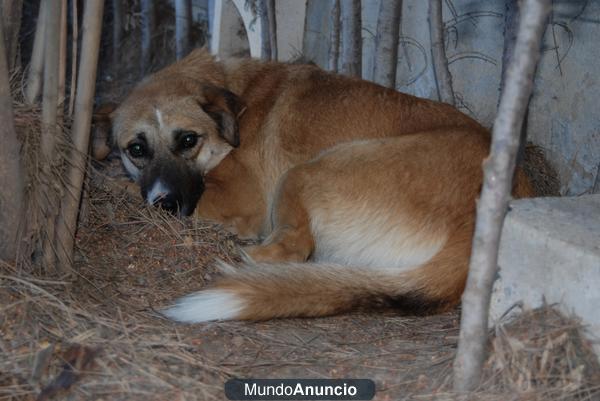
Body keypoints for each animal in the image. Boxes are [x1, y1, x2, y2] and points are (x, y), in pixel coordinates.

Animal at [110, 48, 532, 322]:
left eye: (188, 140)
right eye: (136, 149)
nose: (164, 202)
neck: (237, 101)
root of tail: (475, 227)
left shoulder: (241, 201)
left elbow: (127, 189)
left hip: (304, 172)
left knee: (293, 248)